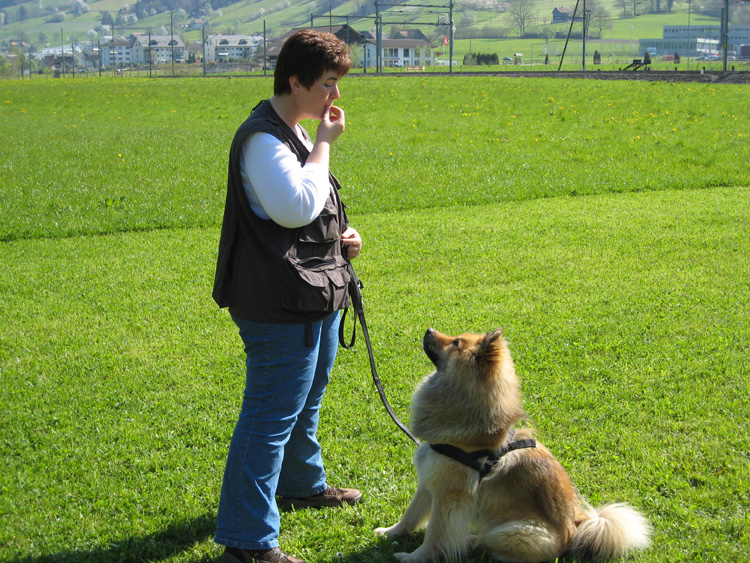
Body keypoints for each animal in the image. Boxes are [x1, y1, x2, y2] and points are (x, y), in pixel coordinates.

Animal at [376, 328, 652, 560]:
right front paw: (390, 532)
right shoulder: (429, 479)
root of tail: (576, 527)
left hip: (513, 531)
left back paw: (470, 542)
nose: (429, 330)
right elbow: (411, 514)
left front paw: (414, 558)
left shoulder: (449, 496)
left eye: (456, 343)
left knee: (490, 543)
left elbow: (435, 535)